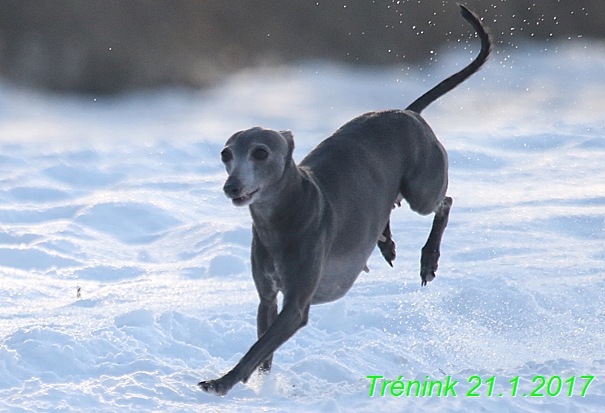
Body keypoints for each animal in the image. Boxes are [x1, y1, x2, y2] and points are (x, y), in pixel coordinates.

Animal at [199, 4, 490, 396]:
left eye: (260, 152)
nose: (231, 187)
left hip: (422, 188)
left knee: (445, 202)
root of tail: (409, 113)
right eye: (225, 154)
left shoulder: (296, 307)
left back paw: (428, 259)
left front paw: (223, 382)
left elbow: (256, 350)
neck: (283, 217)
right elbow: (263, 353)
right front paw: (261, 387)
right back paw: (385, 242)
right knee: (390, 208)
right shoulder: (268, 298)